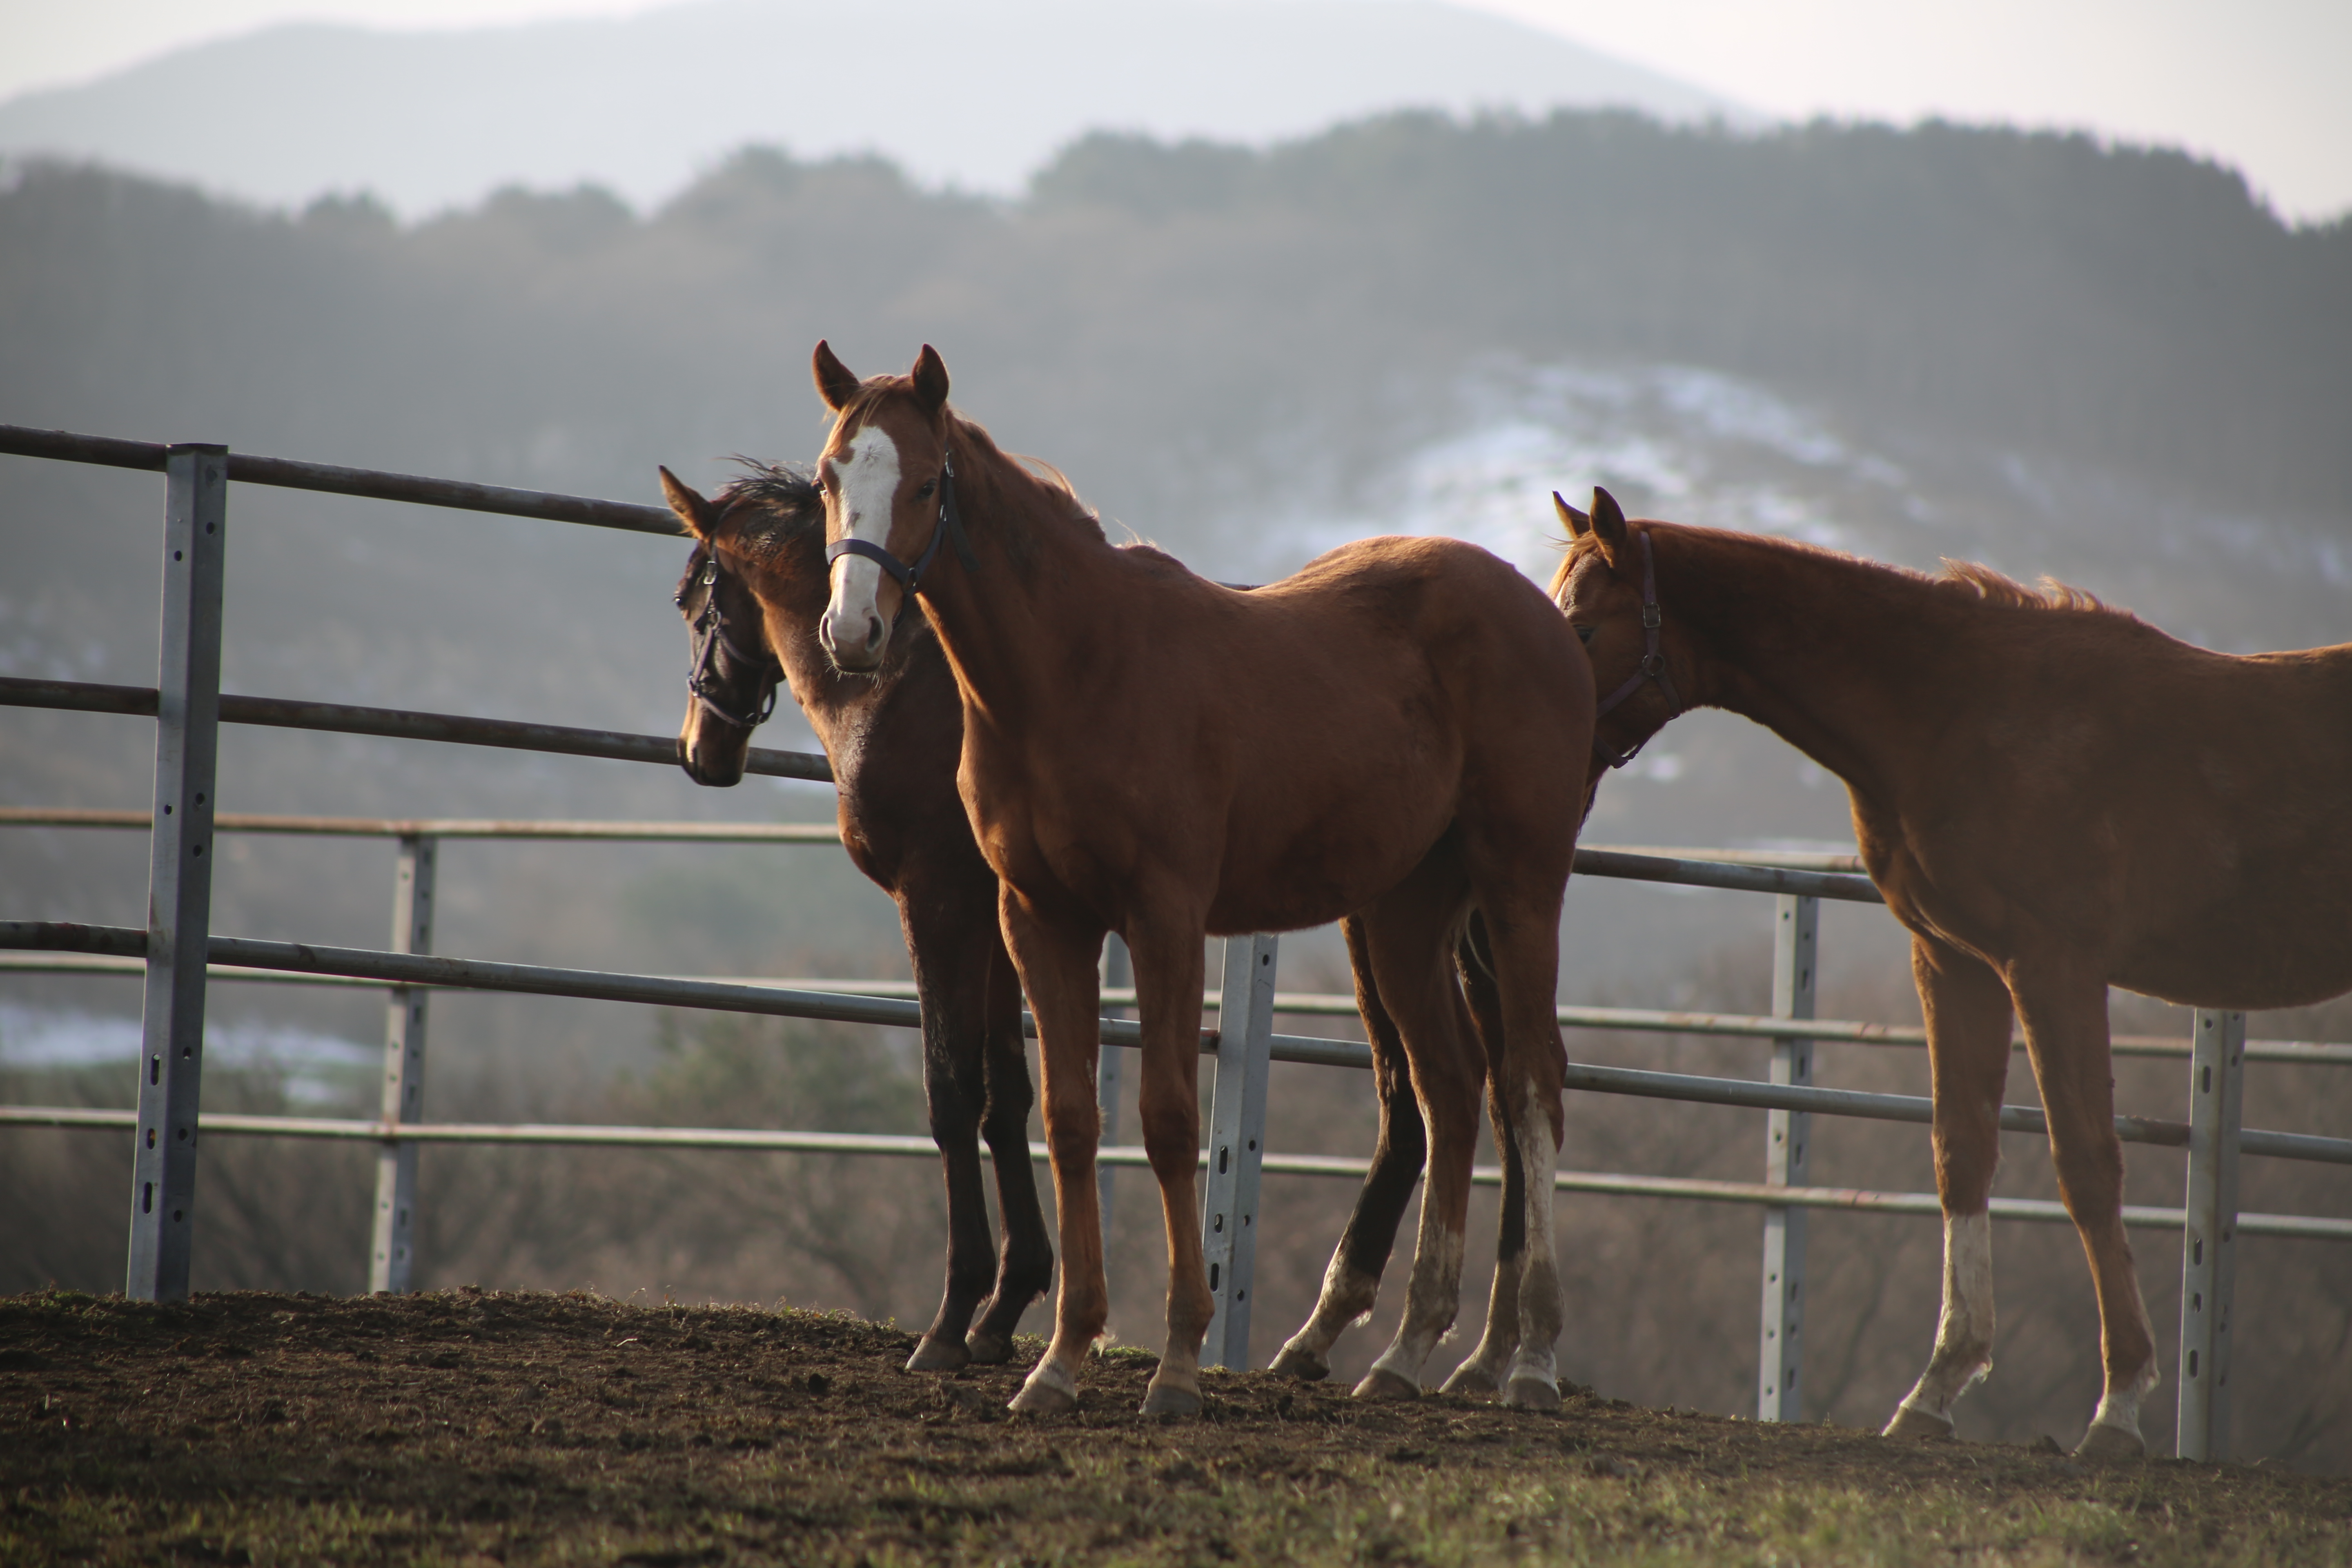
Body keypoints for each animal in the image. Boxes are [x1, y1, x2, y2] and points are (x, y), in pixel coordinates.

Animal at [668, 456, 1063, 1373]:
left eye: (694, 604)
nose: (699, 749)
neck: (898, 688)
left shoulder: (937, 901)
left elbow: (951, 1092)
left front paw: (953, 1317)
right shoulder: (995, 921)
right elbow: (1005, 1094)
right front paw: (1007, 1303)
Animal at [809, 343, 1599, 1420]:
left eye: (926, 484)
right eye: (829, 478)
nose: (852, 633)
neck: (1071, 673)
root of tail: (1541, 612)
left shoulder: (1165, 916)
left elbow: (1169, 1118)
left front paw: (1179, 1362)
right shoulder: (1039, 918)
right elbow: (1070, 1120)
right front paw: (1060, 1358)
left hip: (1519, 886)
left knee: (1530, 1082)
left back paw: (1530, 1359)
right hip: (1403, 908)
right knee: (1448, 1088)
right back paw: (1404, 1351)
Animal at [1543, 486, 2352, 1457]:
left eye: (1585, 628)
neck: (1957, 713)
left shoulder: (2054, 967)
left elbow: (2086, 1166)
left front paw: (2118, 1406)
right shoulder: (1958, 963)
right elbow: (1960, 1153)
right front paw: (1936, 1387)